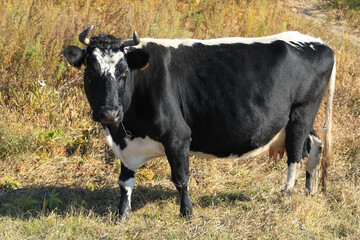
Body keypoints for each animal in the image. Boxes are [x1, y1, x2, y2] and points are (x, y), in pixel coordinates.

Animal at [63, 25, 336, 219]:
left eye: (123, 73)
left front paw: (187, 213)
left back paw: (287, 194)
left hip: (302, 111)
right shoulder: (126, 144)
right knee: (314, 145)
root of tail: (321, 43)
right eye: (90, 71)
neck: (125, 131)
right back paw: (309, 191)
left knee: (295, 155)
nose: (109, 113)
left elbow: (181, 177)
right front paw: (122, 215)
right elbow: (125, 181)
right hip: (299, 118)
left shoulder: (178, 136)